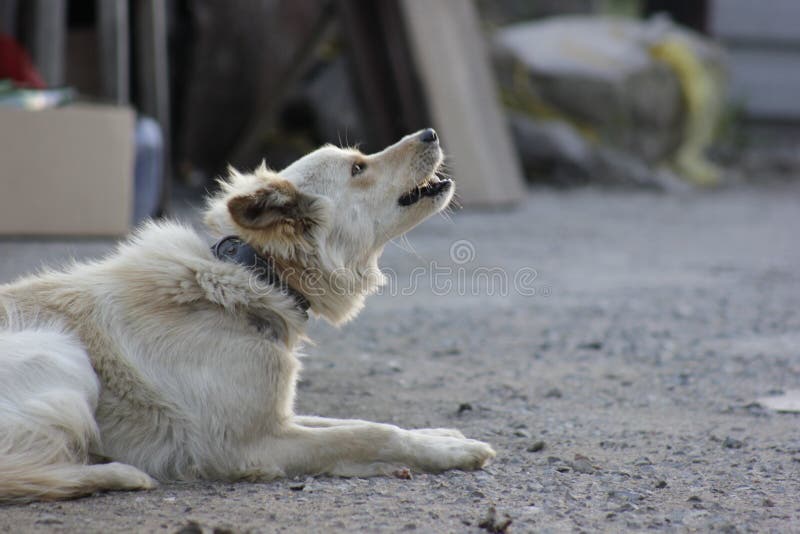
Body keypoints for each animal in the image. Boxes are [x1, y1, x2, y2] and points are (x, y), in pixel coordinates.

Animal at [0, 129, 494, 502]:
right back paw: (120, 474)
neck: (253, 277)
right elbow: (372, 433)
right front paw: (452, 452)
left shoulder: (275, 415)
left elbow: (354, 423)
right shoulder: (248, 446)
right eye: (358, 168)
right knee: (23, 475)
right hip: (60, 350)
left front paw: (444, 437)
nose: (430, 133)